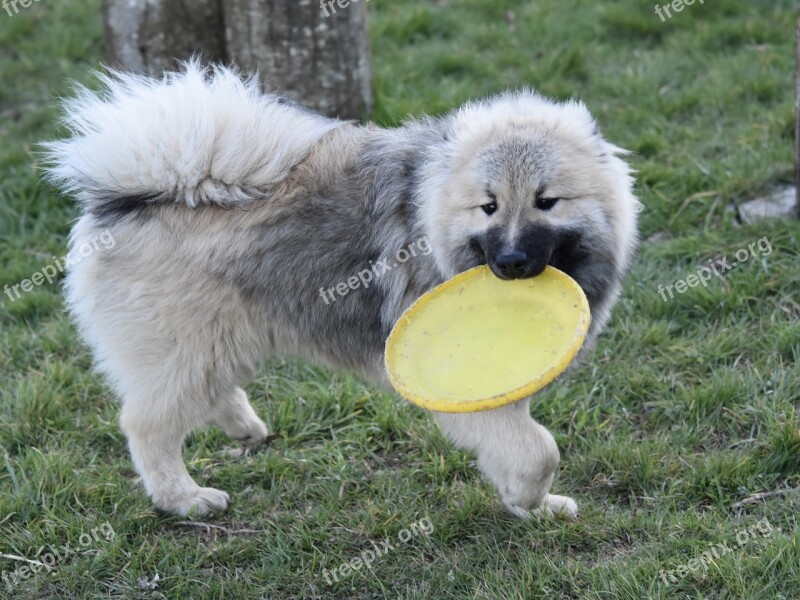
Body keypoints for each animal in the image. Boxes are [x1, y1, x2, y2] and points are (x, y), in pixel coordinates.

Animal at [43, 63, 636, 516]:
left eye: (546, 202)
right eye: (488, 207)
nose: (510, 263)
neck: (433, 217)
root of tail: (137, 195)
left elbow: (521, 448)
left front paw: (530, 506)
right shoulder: (469, 394)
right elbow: (538, 450)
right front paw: (532, 499)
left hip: (223, 339)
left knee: (204, 394)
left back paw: (243, 428)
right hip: (190, 345)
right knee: (147, 425)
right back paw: (185, 499)